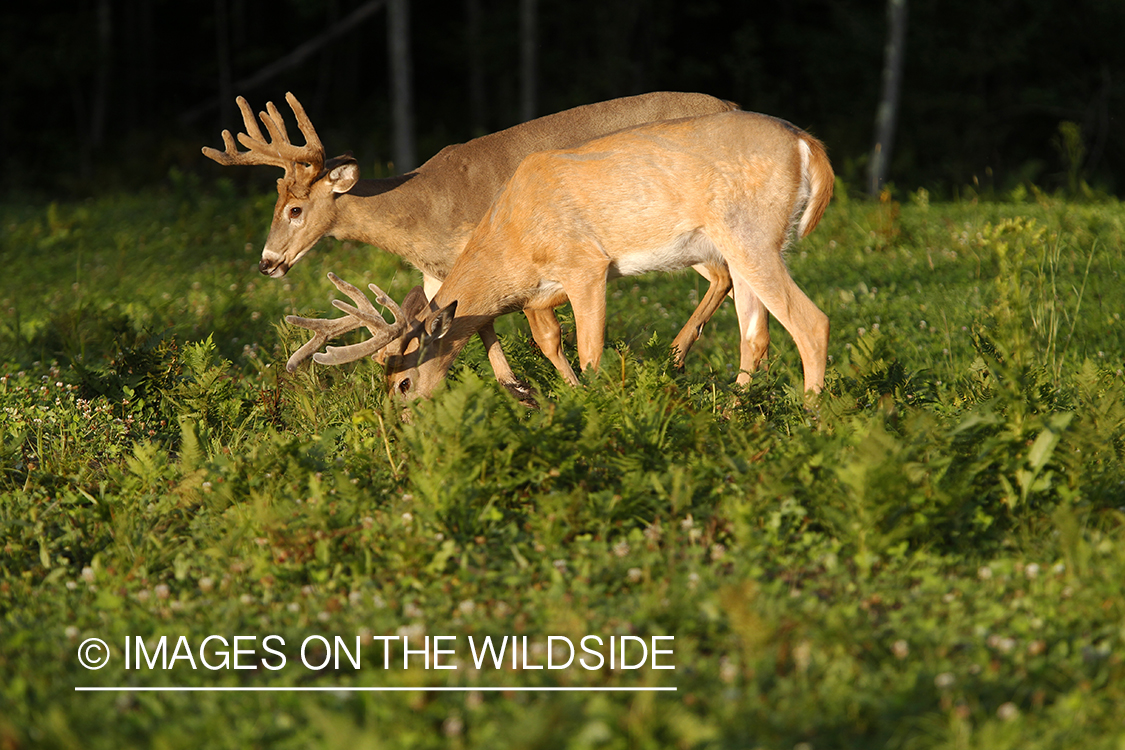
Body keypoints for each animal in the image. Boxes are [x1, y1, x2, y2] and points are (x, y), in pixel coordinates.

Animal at [202, 91, 747, 395]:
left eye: (295, 210)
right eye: (276, 203)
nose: (267, 263)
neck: (421, 212)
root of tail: (735, 106)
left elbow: (528, 332)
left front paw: (542, 390)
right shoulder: (440, 274)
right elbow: (474, 328)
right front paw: (518, 387)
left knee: (726, 276)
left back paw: (678, 356)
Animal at [288, 110, 837, 398]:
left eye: (402, 384)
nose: (400, 428)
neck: (510, 238)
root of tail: (808, 144)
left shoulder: (586, 266)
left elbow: (591, 354)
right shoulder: (539, 292)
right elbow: (550, 343)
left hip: (750, 235)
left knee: (811, 323)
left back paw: (811, 418)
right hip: (738, 247)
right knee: (755, 336)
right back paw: (735, 412)